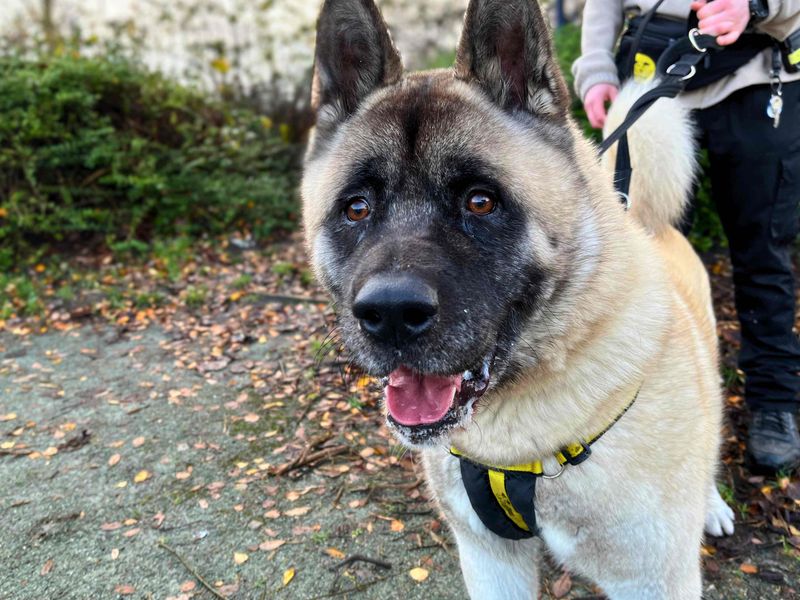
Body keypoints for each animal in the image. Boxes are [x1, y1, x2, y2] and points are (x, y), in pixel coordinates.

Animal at [302, 0, 735, 597]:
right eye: (357, 208)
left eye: (480, 201)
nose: (389, 314)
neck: (520, 453)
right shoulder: (489, 559)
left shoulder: (654, 578)